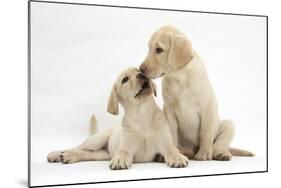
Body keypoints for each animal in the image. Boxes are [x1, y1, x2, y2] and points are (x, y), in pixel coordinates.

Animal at [47, 67, 188, 169]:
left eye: (138, 70)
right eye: (125, 80)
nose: (141, 75)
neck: (142, 112)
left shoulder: (166, 145)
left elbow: (173, 150)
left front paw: (178, 157)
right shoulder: (126, 146)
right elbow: (123, 152)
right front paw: (120, 159)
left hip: (103, 155)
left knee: (86, 153)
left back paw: (68, 157)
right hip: (96, 140)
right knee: (78, 147)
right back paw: (58, 154)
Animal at [139, 24, 253, 160]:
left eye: (159, 50)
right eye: (149, 48)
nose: (140, 69)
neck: (179, 78)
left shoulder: (207, 106)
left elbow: (206, 132)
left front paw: (204, 152)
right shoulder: (169, 109)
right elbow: (172, 133)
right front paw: (173, 154)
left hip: (228, 124)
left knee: (219, 144)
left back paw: (220, 153)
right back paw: (185, 152)